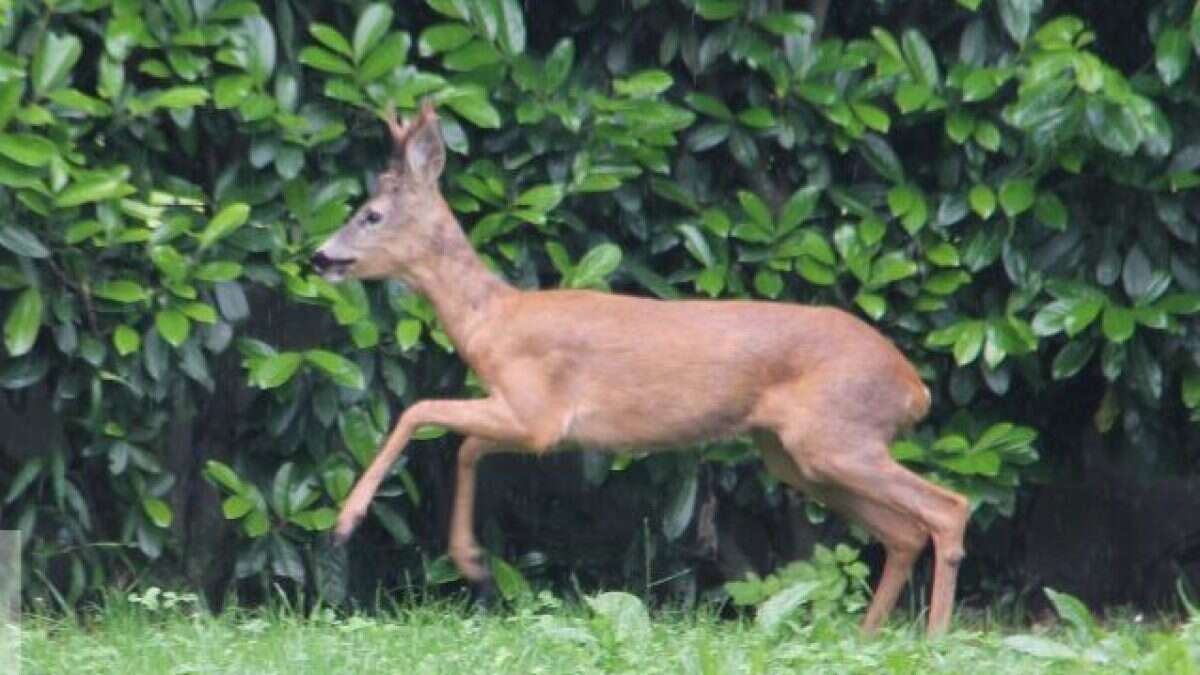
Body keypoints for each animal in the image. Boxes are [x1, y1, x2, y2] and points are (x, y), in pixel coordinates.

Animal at [314, 99, 969, 629]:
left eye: (370, 214)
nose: (320, 256)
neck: (492, 322)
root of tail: (914, 386)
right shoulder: (534, 422)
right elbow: (467, 447)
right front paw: (471, 562)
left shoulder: (539, 413)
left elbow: (419, 410)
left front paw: (345, 523)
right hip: (799, 456)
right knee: (904, 531)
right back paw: (868, 636)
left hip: (836, 437)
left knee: (947, 509)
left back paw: (933, 638)